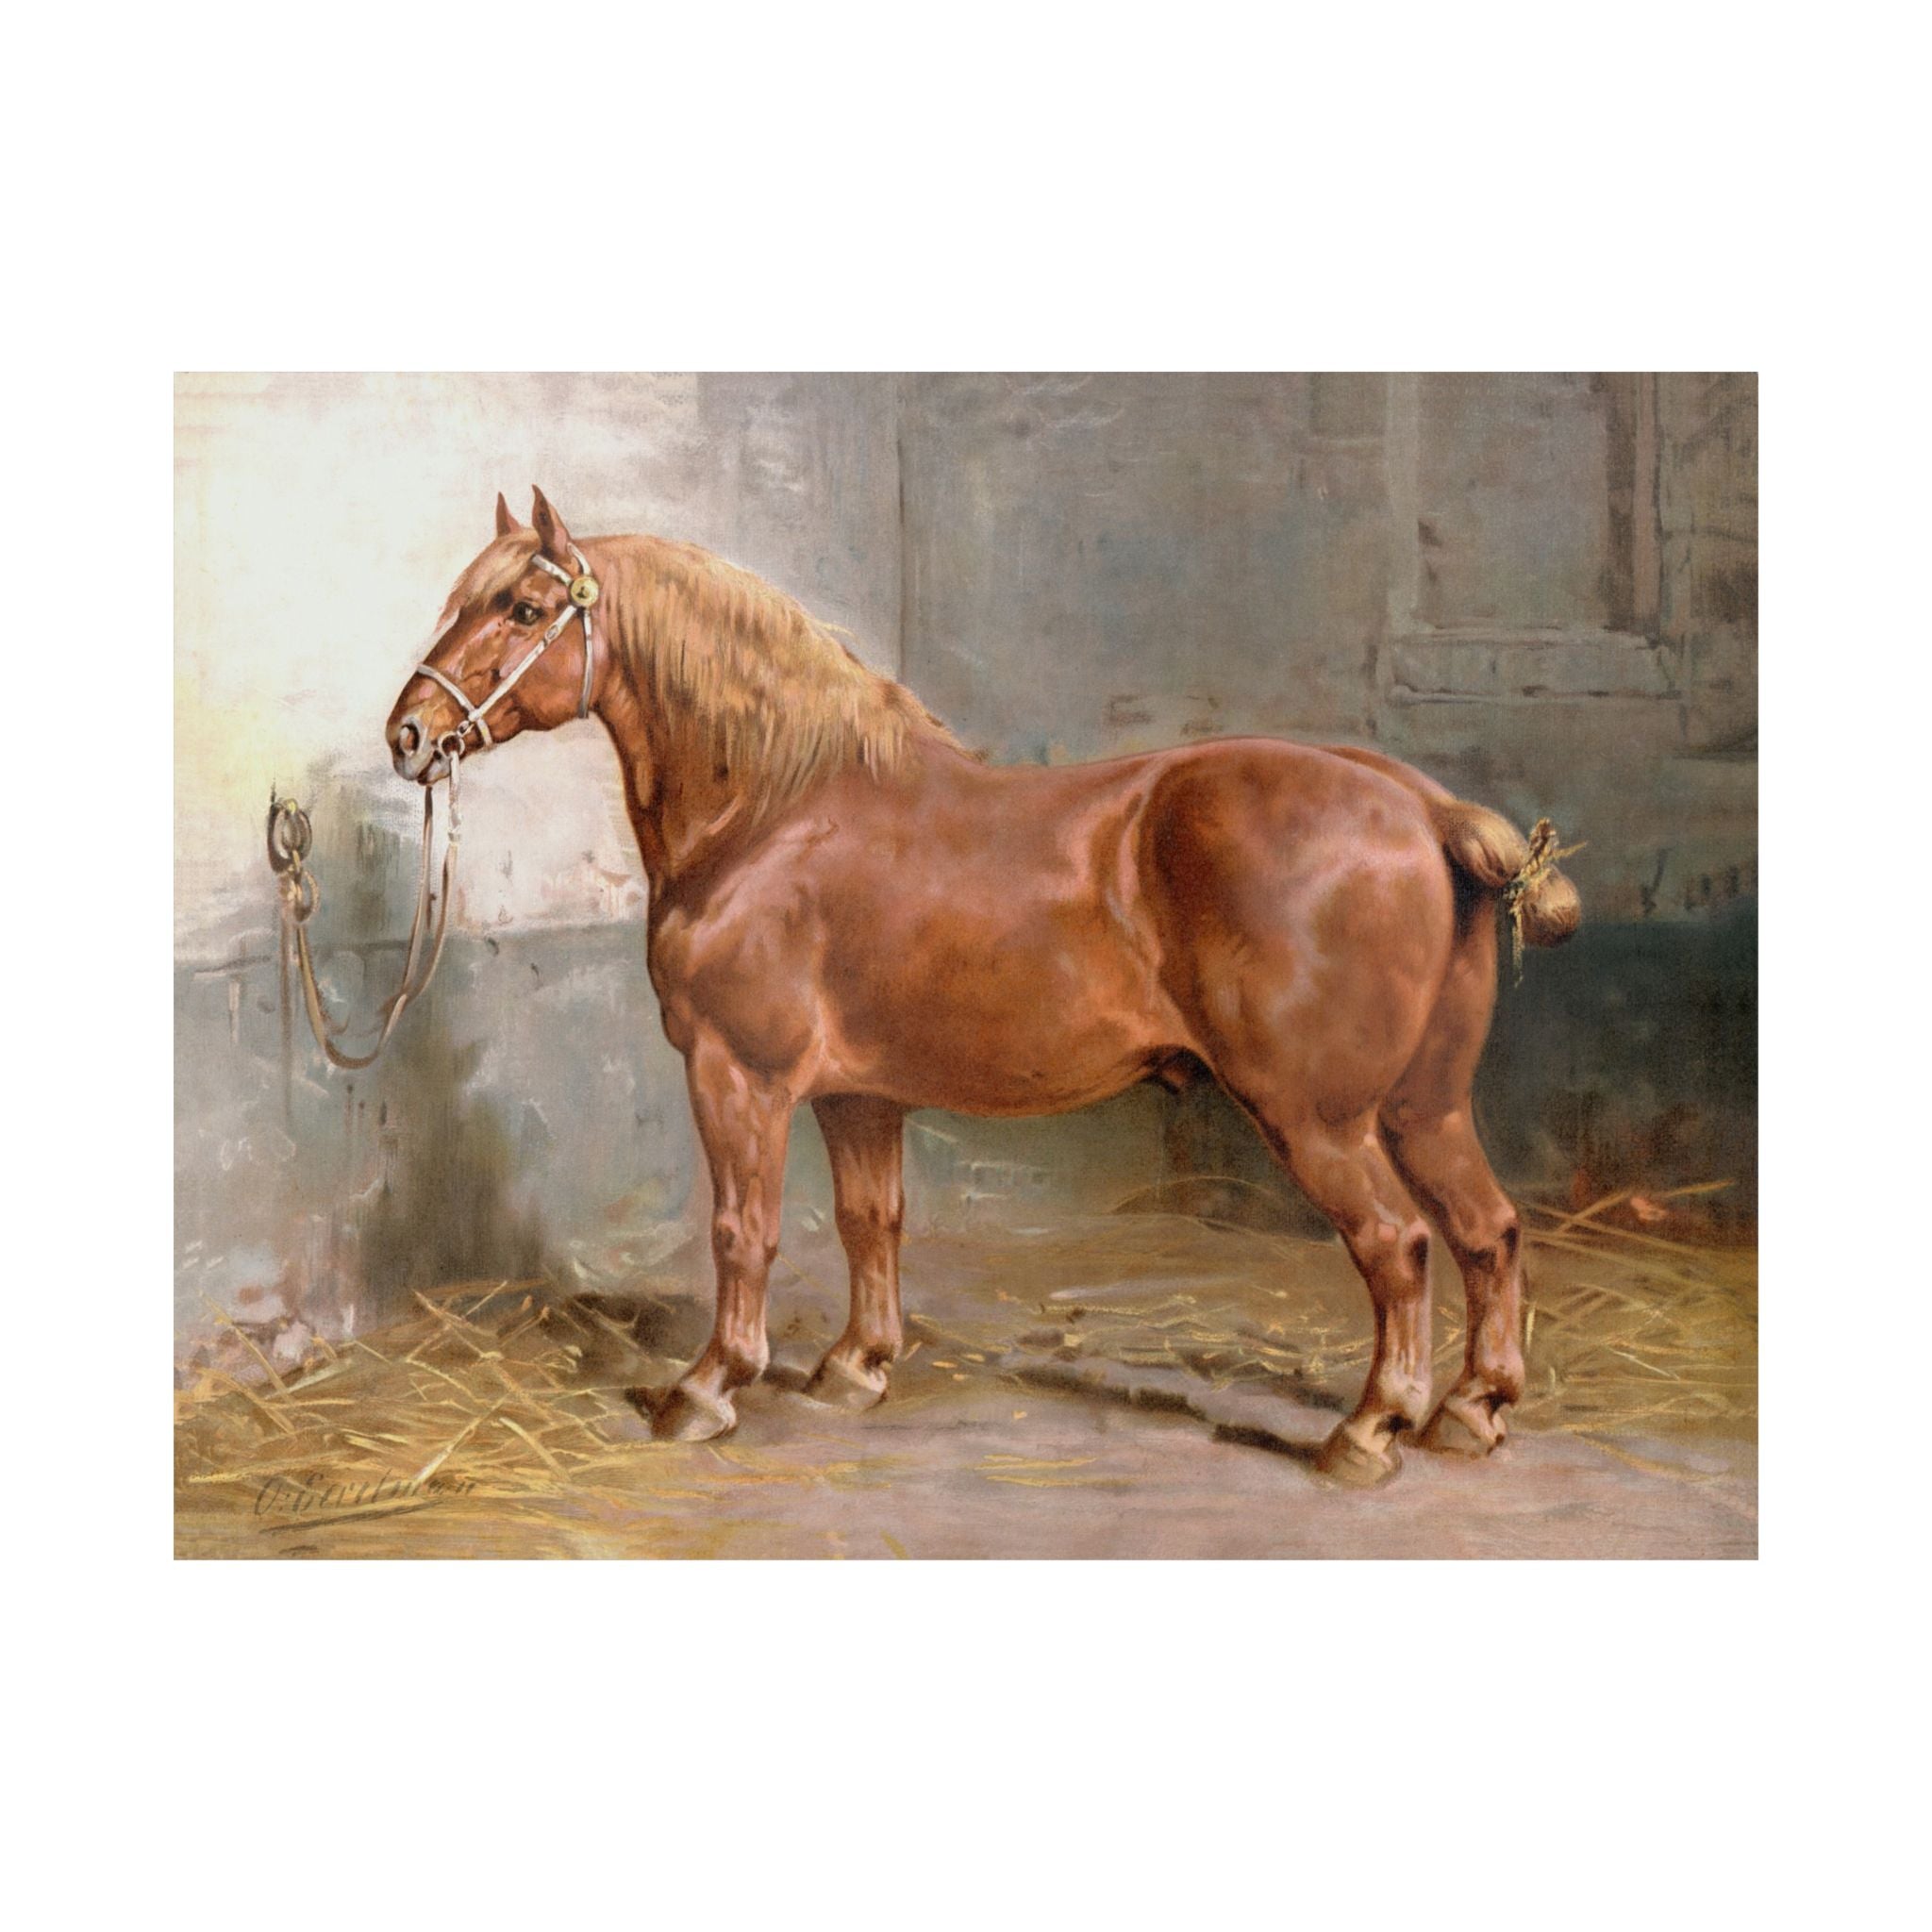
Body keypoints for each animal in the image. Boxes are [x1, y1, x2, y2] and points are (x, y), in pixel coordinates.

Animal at [385, 489, 1581, 1485]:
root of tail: (1418, 804)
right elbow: (871, 1219)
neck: (772, 810)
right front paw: (854, 1367)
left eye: (526, 606)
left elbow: (742, 1229)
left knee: (1397, 1244)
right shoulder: (856, 1094)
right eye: (459, 601)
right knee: (1486, 1230)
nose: (409, 734)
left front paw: (709, 1385)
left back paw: (1369, 1429)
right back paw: (1471, 1409)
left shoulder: (741, 1075)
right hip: (1423, 1104)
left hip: (1318, 1116)